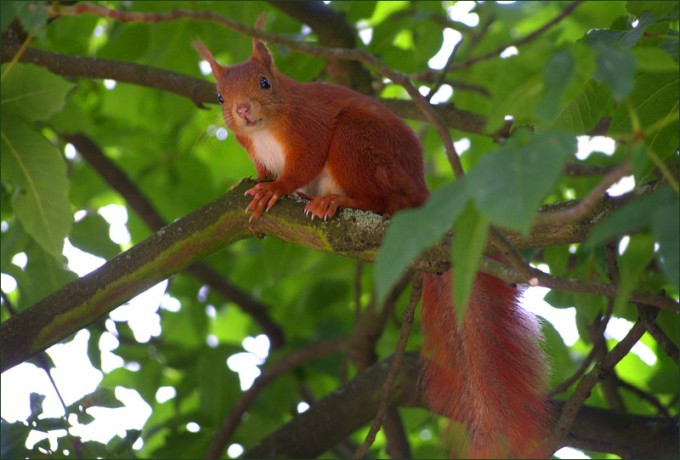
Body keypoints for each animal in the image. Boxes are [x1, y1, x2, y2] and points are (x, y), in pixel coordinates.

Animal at [194, 28, 550, 459]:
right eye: (219, 97)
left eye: (265, 83)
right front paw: (256, 183)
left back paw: (335, 201)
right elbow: (262, 170)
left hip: (356, 142)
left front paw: (276, 189)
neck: (265, 130)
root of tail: (417, 189)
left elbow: (303, 164)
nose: (242, 110)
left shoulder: (309, 129)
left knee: (379, 201)